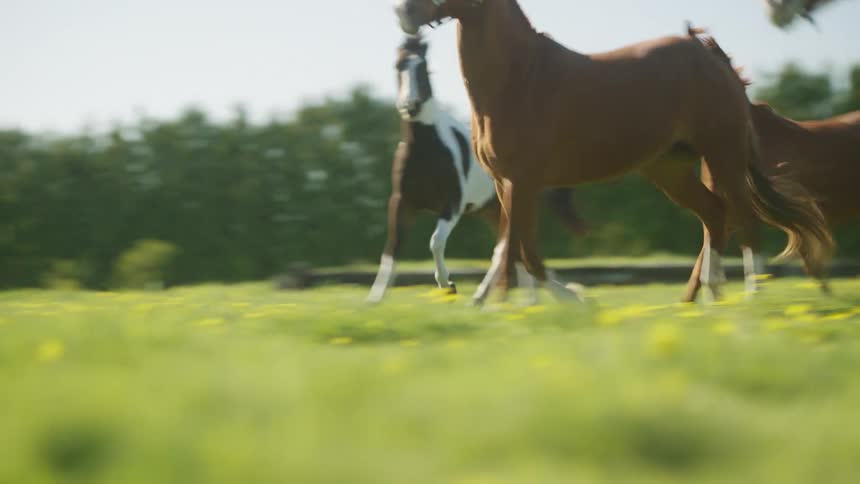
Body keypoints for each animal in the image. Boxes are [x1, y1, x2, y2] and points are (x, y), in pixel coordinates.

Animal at [367, 34, 586, 304]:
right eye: (398, 66)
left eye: (424, 68)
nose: (411, 106)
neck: (427, 148)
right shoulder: (402, 202)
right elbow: (391, 249)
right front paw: (374, 299)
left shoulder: (452, 204)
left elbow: (435, 242)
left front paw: (448, 285)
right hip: (494, 210)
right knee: (515, 250)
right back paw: (530, 300)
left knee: (509, 250)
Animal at [394, 0, 833, 303]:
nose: (403, 11)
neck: (519, 78)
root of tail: (709, 54)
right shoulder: (507, 184)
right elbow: (514, 248)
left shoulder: (523, 182)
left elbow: (517, 250)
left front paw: (564, 300)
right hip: (669, 168)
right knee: (715, 214)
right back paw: (702, 298)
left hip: (722, 154)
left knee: (745, 218)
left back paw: (750, 297)